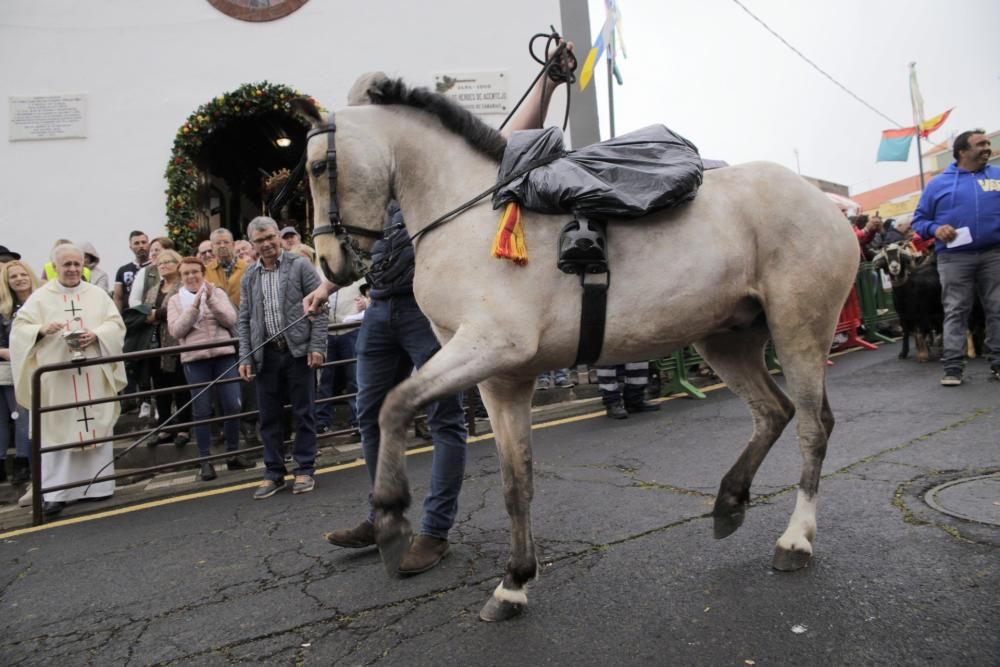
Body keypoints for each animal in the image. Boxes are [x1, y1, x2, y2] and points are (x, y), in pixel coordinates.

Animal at [290, 77, 860, 620]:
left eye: (317, 165)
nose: (331, 263)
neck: (469, 216)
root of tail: (827, 206)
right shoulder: (501, 378)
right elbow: (515, 482)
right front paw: (514, 582)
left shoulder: (489, 345)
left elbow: (393, 405)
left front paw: (389, 518)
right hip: (727, 339)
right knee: (774, 412)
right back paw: (729, 502)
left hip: (798, 329)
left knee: (812, 426)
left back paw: (795, 539)